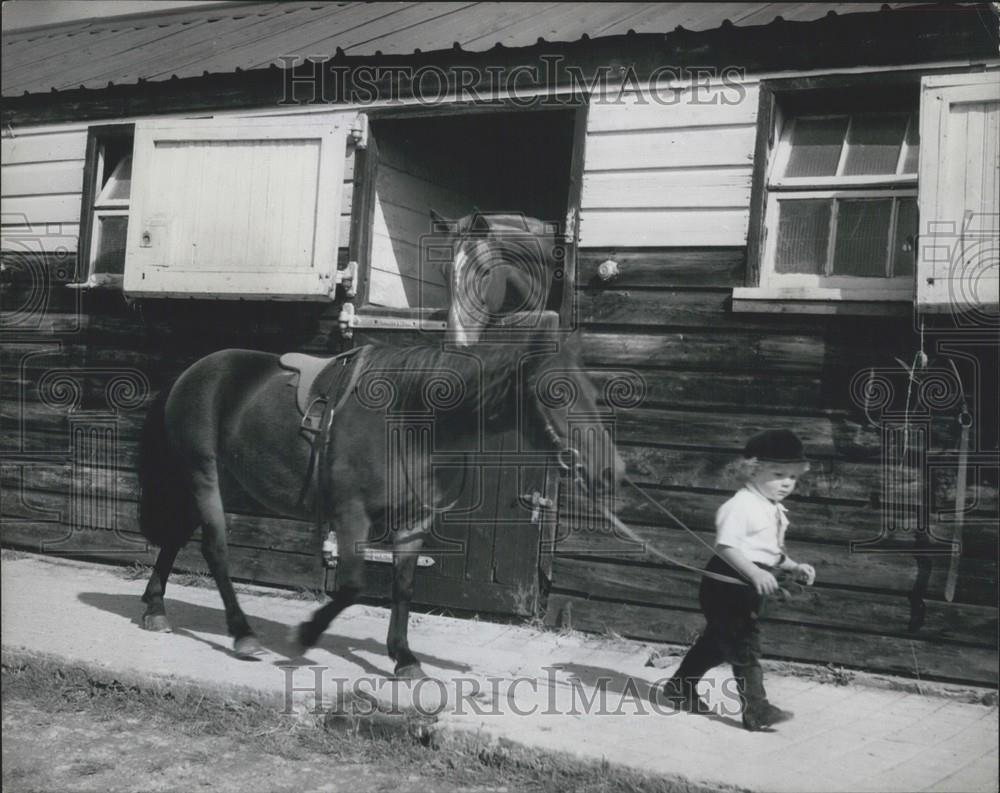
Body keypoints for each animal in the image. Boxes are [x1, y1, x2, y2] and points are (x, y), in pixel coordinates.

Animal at [137, 328, 620, 676]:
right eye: (555, 393)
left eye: (591, 393)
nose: (611, 469)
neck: (409, 421)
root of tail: (191, 373)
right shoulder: (352, 515)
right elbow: (352, 584)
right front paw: (304, 636)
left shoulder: (415, 521)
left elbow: (403, 587)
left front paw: (403, 658)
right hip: (203, 475)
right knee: (215, 549)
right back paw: (242, 634)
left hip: (222, 480)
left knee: (176, 537)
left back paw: (156, 608)